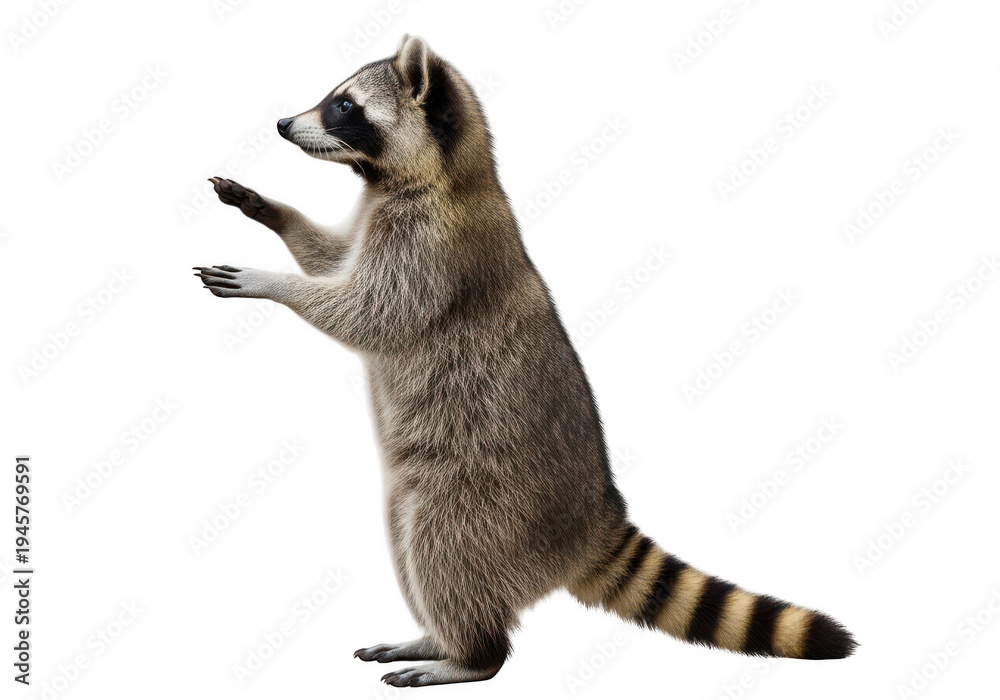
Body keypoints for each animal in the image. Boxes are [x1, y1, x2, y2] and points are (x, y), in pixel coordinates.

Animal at [195, 35, 856, 687]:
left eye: (344, 106)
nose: (284, 123)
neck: (445, 172)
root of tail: (595, 517)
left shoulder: (430, 249)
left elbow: (367, 313)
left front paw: (271, 281)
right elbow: (332, 258)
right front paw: (271, 210)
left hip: (486, 497)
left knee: (443, 549)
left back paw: (471, 655)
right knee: (403, 534)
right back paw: (435, 636)